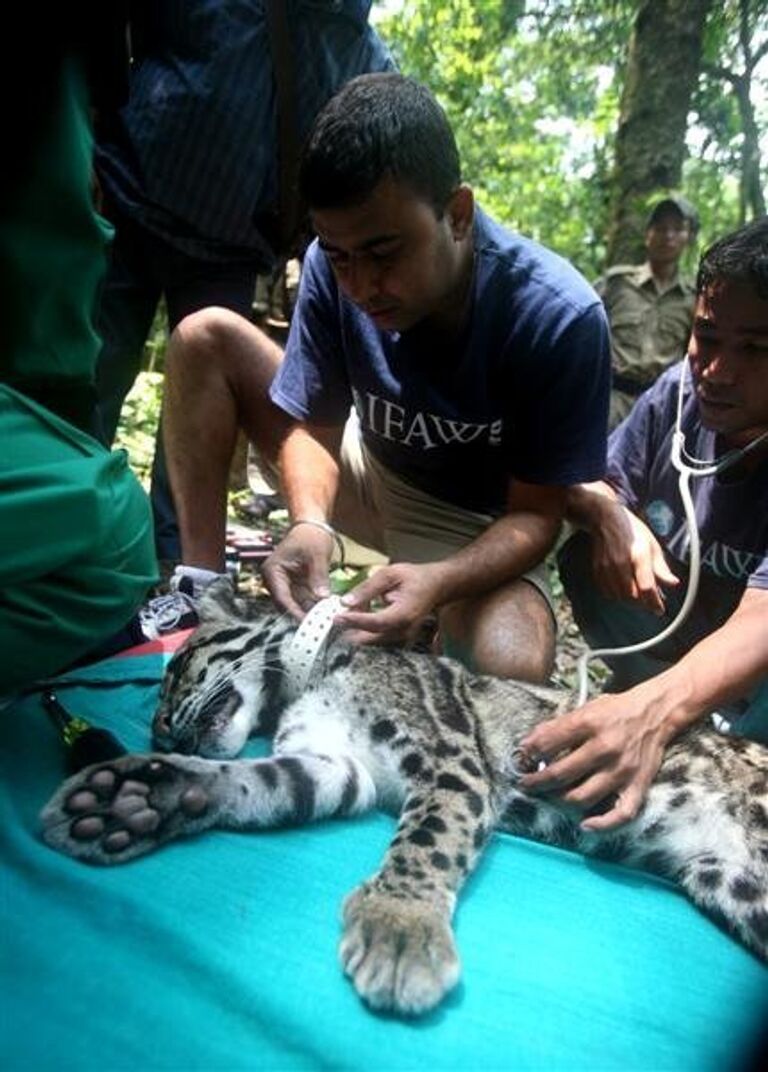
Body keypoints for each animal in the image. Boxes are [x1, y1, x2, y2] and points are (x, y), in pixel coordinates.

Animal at [40, 583, 768, 1007]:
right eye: (157, 712)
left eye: (176, 676)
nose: (160, 728)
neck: (302, 682)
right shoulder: (336, 768)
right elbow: (252, 783)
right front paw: (141, 795)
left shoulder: (451, 758)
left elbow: (426, 840)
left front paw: (400, 927)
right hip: (729, 884)